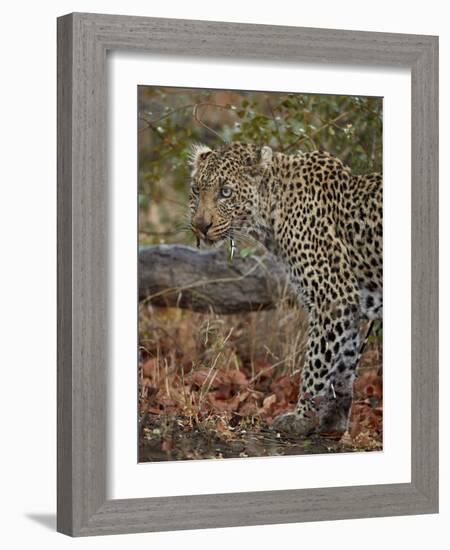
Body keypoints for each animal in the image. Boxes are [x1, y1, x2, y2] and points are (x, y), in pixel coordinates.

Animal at [188, 142, 382, 440]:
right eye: (197, 190)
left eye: (225, 192)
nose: (200, 226)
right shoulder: (351, 305)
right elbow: (344, 364)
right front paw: (333, 421)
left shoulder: (333, 298)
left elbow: (317, 363)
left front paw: (301, 419)